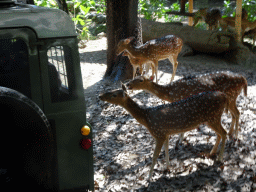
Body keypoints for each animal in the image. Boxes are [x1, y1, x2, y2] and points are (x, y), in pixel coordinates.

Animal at [99, 85, 227, 181]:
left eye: (114, 95)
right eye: (111, 90)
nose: (100, 96)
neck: (147, 119)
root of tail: (224, 96)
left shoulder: (159, 134)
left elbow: (155, 156)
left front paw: (149, 178)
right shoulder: (166, 134)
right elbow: (166, 150)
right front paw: (167, 168)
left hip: (213, 117)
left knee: (224, 133)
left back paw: (220, 159)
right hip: (212, 119)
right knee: (220, 134)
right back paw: (212, 153)